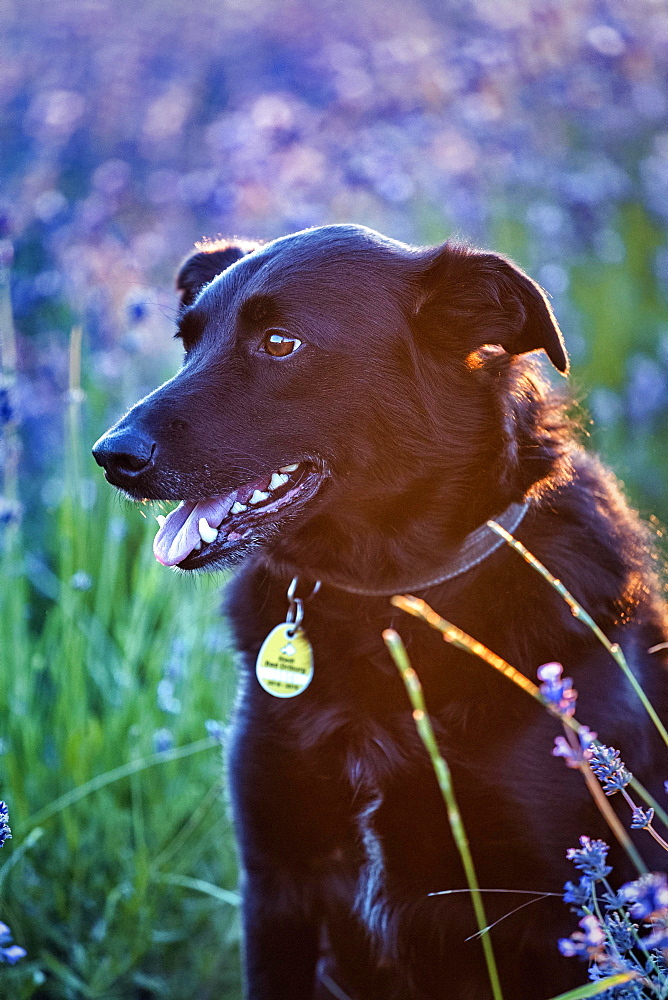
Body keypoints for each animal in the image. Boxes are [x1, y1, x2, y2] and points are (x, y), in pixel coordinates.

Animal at [92, 227, 668, 1000]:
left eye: (280, 344)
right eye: (188, 342)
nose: (110, 455)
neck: (382, 599)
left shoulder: (570, 909)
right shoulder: (276, 886)